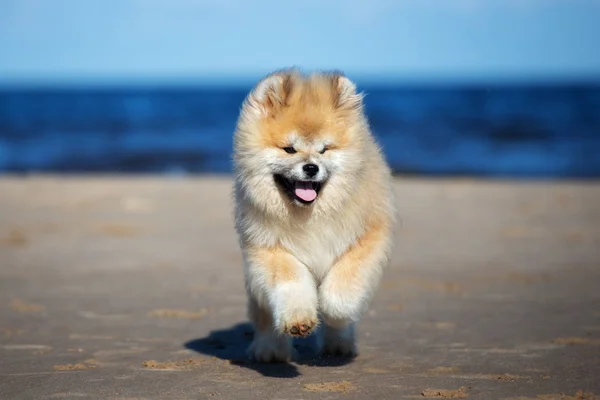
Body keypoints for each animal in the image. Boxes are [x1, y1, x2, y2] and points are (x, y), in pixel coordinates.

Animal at [232, 68, 396, 362]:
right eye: (289, 149)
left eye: (324, 149)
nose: (311, 168)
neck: (310, 214)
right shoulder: (271, 249)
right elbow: (292, 284)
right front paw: (298, 321)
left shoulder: (368, 236)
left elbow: (343, 289)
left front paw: (334, 315)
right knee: (263, 316)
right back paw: (270, 349)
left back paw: (339, 343)